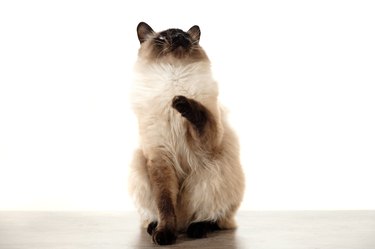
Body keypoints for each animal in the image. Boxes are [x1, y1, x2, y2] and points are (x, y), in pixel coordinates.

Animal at [129, 21, 247, 245]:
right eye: (162, 38)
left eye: (184, 35)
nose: (177, 38)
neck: (173, 77)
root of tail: (183, 224)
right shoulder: (160, 158)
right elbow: (165, 204)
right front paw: (165, 234)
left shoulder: (208, 140)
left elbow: (199, 113)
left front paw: (180, 102)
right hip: (139, 167)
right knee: (159, 215)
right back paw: (155, 227)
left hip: (213, 171)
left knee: (214, 219)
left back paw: (197, 229)